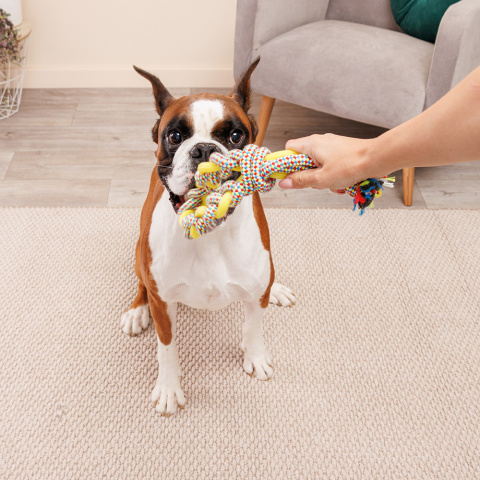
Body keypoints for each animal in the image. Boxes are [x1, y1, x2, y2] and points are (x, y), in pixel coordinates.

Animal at [122, 58, 294, 414]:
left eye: (235, 135)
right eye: (175, 135)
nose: (203, 150)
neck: (209, 234)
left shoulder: (255, 296)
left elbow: (254, 326)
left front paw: (255, 356)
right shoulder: (164, 305)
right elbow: (166, 348)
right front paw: (169, 387)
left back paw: (277, 288)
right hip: (139, 253)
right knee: (142, 284)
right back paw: (136, 310)